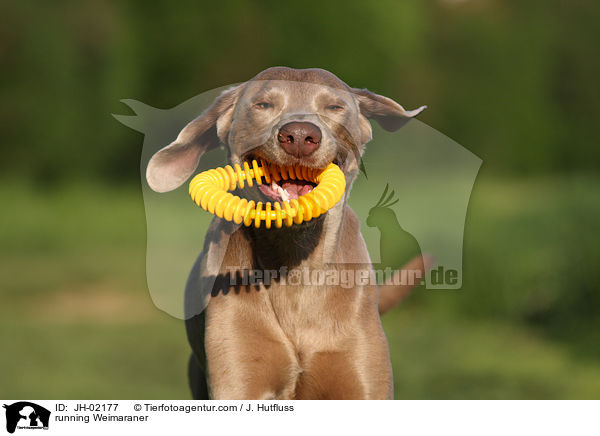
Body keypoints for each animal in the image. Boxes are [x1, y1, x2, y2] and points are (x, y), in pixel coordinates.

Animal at [145, 67, 426, 398]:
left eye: (334, 106)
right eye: (263, 104)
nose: (300, 136)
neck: (295, 261)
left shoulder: (363, 379)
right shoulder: (238, 377)